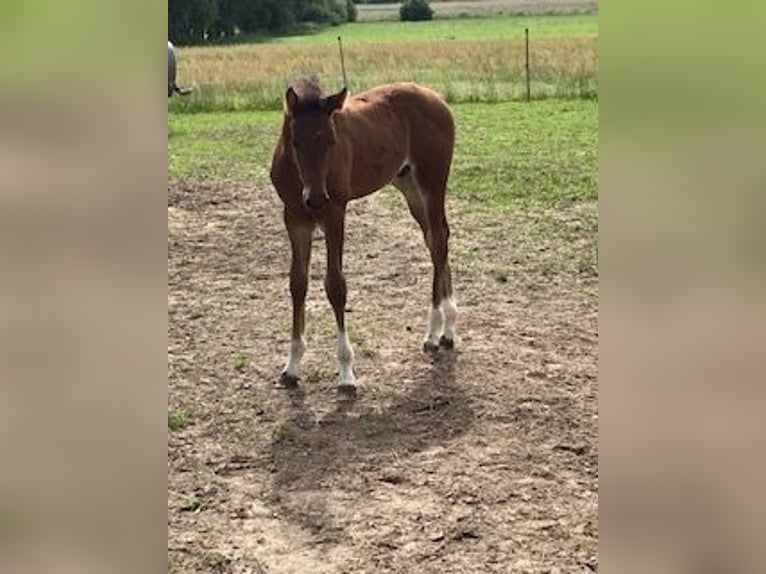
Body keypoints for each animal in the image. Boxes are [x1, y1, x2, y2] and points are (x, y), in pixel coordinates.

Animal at [270, 77, 456, 392]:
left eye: (331, 141)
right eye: (295, 142)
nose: (316, 200)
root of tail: (437, 99)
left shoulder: (335, 215)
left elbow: (336, 286)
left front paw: (346, 373)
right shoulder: (294, 218)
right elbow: (298, 284)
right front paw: (292, 367)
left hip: (432, 182)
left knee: (440, 241)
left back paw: (440, 330)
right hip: (408, 185)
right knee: (436, 239)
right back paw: (442, 330)